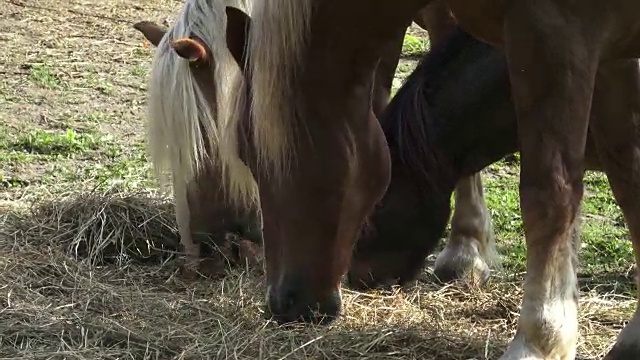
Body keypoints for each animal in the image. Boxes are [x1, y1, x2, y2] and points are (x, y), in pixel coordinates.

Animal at [216, 0, 640, 360]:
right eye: (245, 154)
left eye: (256, 151)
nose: (282, 304)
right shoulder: (612, 56)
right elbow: (627, 176)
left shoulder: (556, 37)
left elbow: (550, 195)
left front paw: (538, 341)